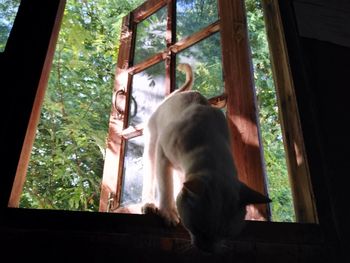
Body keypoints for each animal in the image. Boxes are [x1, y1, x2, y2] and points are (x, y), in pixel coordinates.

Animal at [142, 63, 270, 254]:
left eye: (225, 234)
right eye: (199, 229)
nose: (208, 250)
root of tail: (176, 94)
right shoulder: (163, 155)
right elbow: (166, 188)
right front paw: (169, 214)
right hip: (152, 147)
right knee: (151, 181)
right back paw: (149, 206)